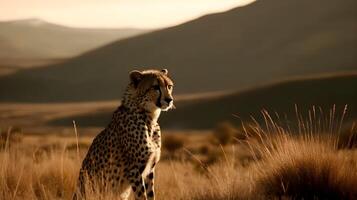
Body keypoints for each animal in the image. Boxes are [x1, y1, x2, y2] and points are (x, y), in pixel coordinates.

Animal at [73, 69, 173, 200]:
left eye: (169, 86)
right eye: (155, 87)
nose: (169, 99)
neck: (149, 118)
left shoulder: (150, 170)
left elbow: (151, 195)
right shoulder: (134, 170)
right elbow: (142, 196)